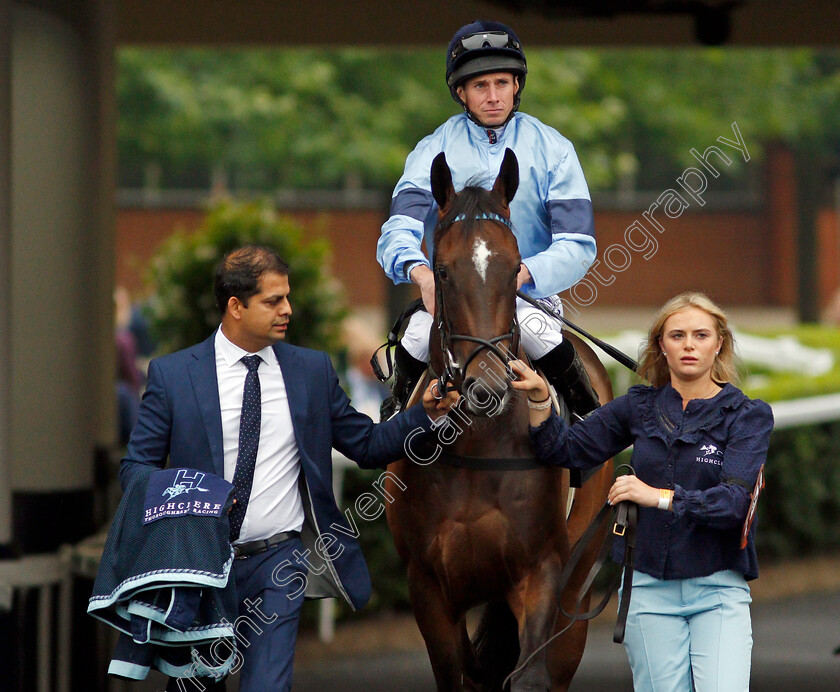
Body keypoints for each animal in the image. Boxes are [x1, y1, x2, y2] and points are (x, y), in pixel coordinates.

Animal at [384, 149, 612, 688]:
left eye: (514, 271)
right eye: (442, 271)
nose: (487, 386)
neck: (478, 449)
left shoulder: (540, 571)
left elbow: (528, 676)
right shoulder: (428, 585)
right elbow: (459, 675)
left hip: (578, 578)